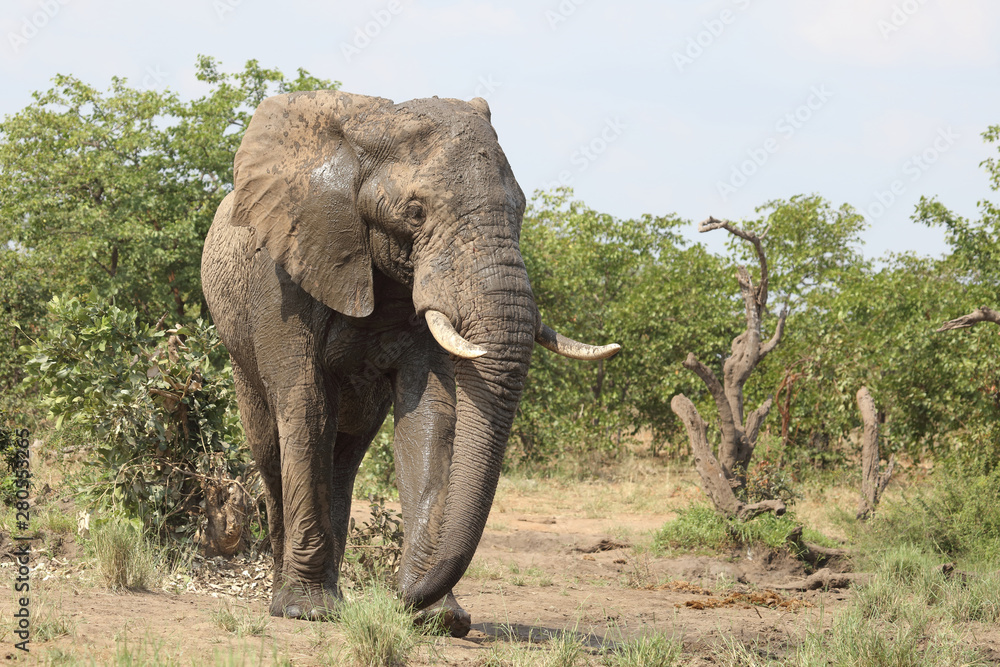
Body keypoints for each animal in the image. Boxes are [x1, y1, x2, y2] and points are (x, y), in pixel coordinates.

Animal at [200, 90, 620, 636]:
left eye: (522, 208)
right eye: (415, 212)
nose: (393, 598)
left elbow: (430, 418)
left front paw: (438, 618)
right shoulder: (281, 280)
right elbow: (307, 408)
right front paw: (305, 612)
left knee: (346, 454)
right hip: (239, 352)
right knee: (273, 447)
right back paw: (291, 595)